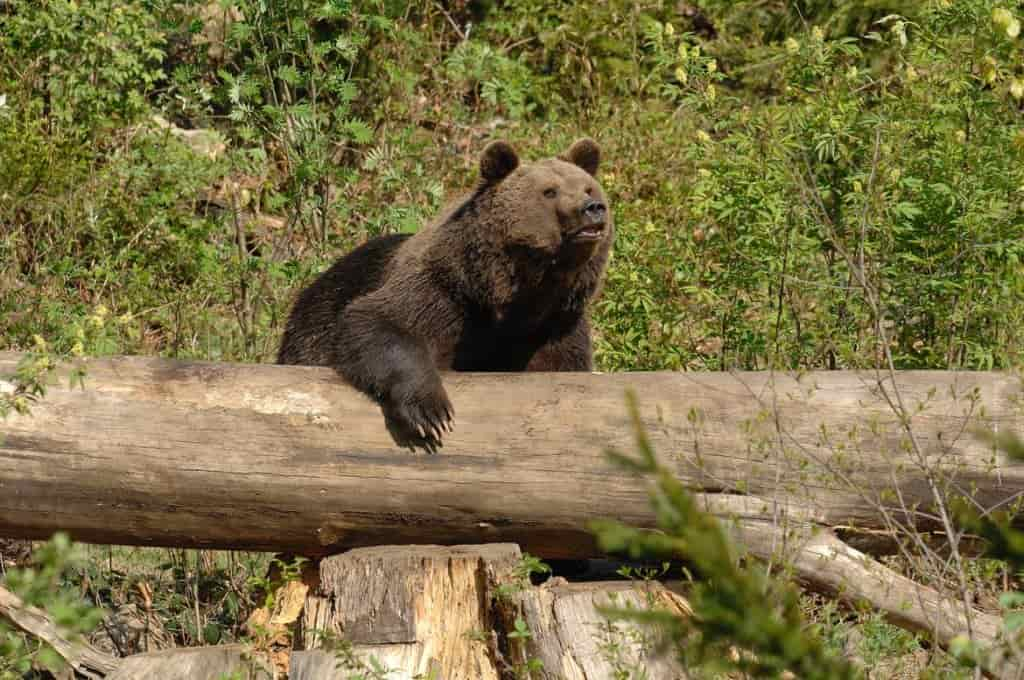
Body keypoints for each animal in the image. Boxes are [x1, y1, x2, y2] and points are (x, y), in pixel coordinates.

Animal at [276, 137, 610, 448]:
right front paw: (431, 413)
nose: (593, 209)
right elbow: (378, 322)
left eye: (588, 188)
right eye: (549, 191)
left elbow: (561, 367)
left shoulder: (556, 324)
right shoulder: (442, 292)